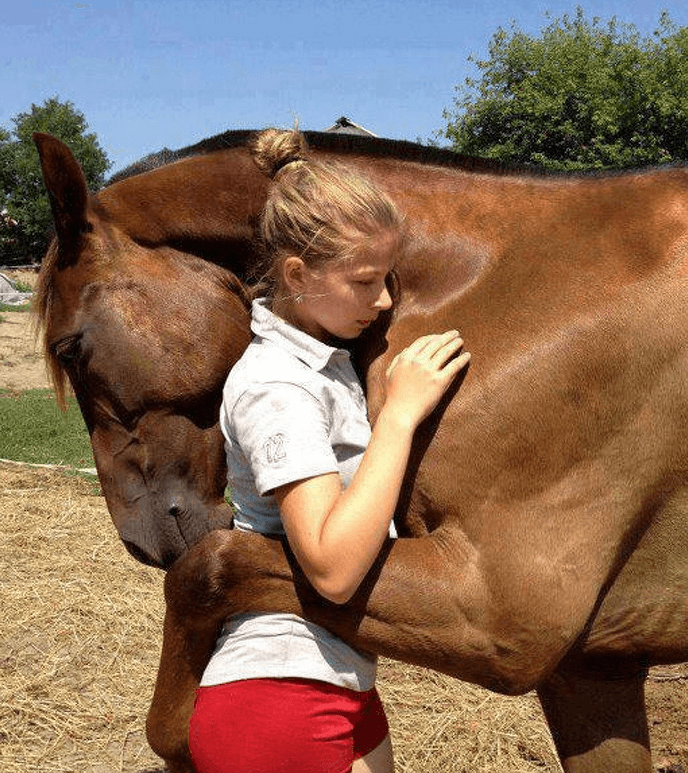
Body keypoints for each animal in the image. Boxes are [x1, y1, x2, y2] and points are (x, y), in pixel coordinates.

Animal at [33, 130, 688, 768]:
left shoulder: (500, 616)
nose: (139, 539)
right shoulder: (590, 666)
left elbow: (206, 569)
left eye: (69, 349)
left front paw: (176, 740)